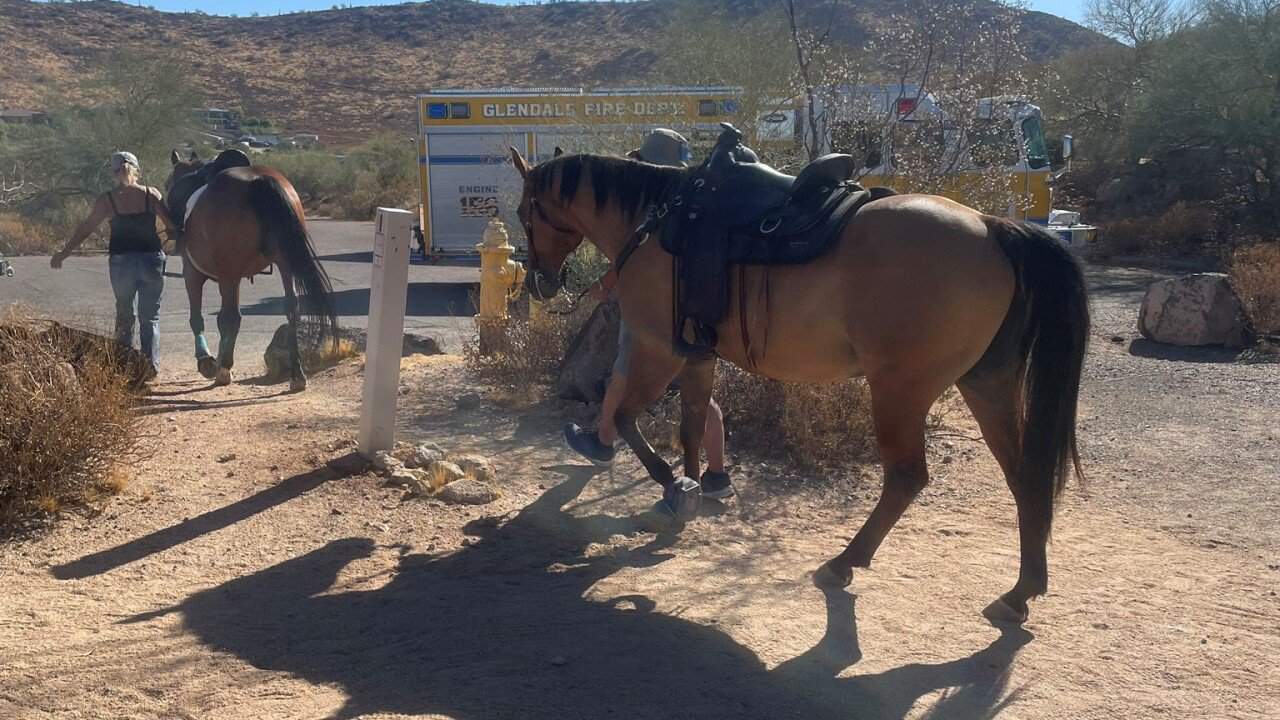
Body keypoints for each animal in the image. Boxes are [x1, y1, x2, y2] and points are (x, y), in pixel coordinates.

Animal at [166, 149, 340, 386]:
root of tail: (259, 179)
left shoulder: (194, 272)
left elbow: (197, 317)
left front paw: (207, 361)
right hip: (284, 264)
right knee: (291, 309)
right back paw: (297, 373)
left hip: (228, 274)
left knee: (230, 317)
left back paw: (223, 370)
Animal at [509, 148, 1090, 625]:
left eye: (522, 212)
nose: (539, 281)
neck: (654, 222)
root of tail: (993, 227)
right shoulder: (696, 353)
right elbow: (692, 424)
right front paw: (686, 491)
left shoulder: (658, 345)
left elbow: (629, 416)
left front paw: (672, 484)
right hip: (987, 384)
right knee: (1025, 477)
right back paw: (1020, 592)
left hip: (900, 391)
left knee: (906, 478)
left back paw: (844, 562)